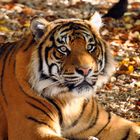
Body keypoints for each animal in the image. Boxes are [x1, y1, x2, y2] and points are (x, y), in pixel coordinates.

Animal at [0, 11, 139, 139]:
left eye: (90, 47)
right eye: (63, 49)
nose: (85, 70)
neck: (69, 101)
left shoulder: (107, 123)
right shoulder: (31, 129)